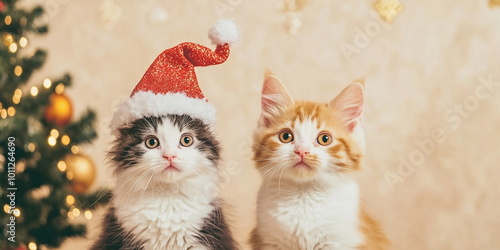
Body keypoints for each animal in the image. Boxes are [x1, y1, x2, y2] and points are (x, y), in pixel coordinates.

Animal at [252, 74, 388, 250]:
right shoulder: (269, 240)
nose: (302, 150)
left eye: (325, 139)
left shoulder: (339, 240)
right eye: (286, 136)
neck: (303, 195)